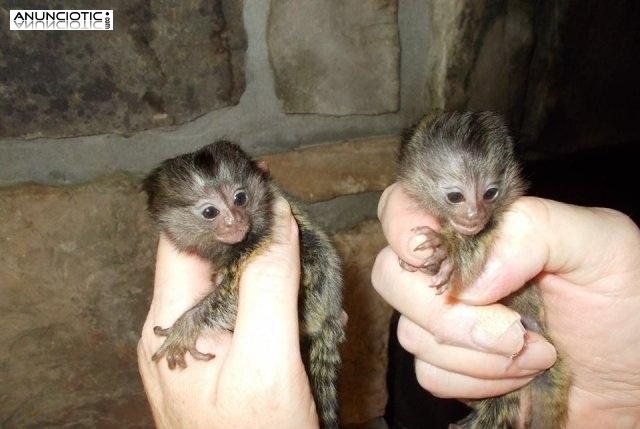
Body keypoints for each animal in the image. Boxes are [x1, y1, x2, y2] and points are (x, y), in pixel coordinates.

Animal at [143, 141, 345, 429]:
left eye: (240, 198)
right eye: (210, 212)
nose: (235, 220)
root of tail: (330, 312)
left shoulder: (264, 237)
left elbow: (234, 298)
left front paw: (187, 326)